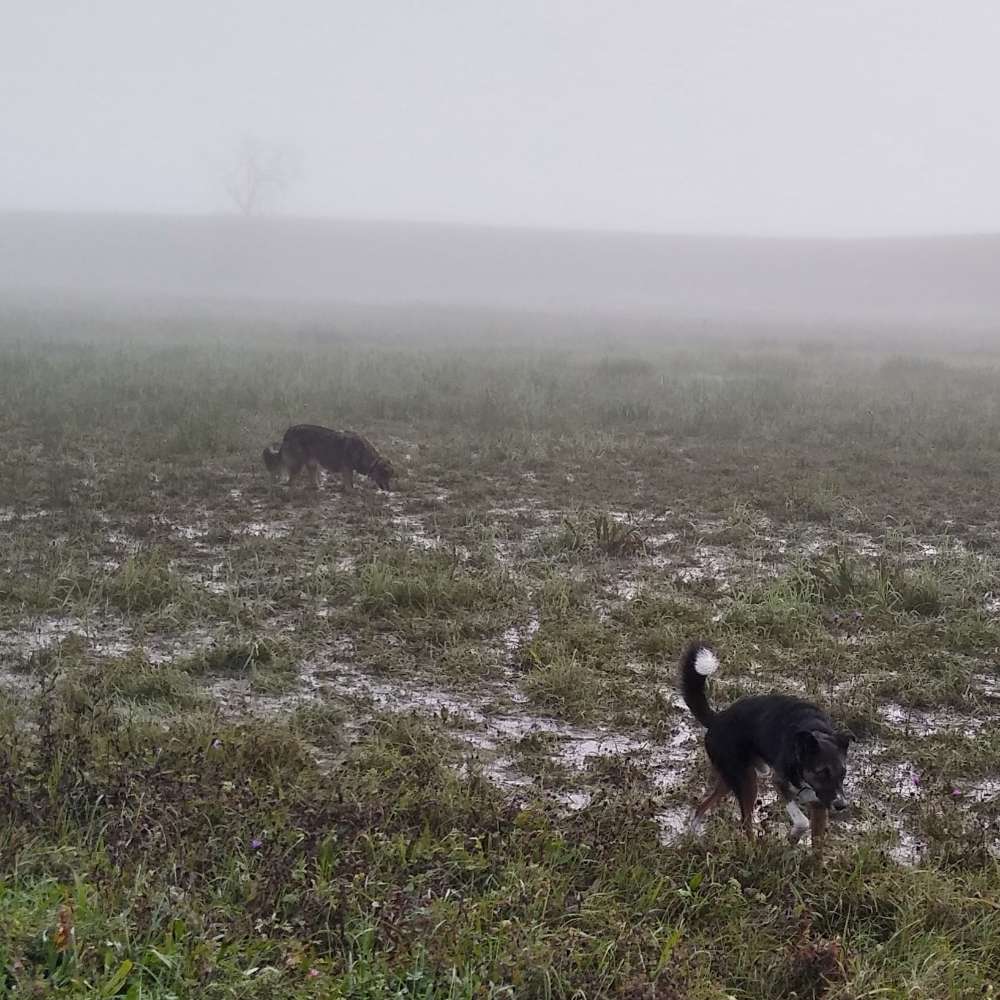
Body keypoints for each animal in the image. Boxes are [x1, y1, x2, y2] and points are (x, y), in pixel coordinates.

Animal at [676, 644, 848, 848]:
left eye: (843, 772)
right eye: (821, 772)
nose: (841, 805)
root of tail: (717, 720)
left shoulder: (820, 805)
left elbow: (817, 845)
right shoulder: (779, 783)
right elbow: (801, 821)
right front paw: (794, 835)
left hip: (732, 779)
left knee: (702, 806)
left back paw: (693, 835)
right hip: (747, 782)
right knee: (745, 823)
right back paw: (752, 848)